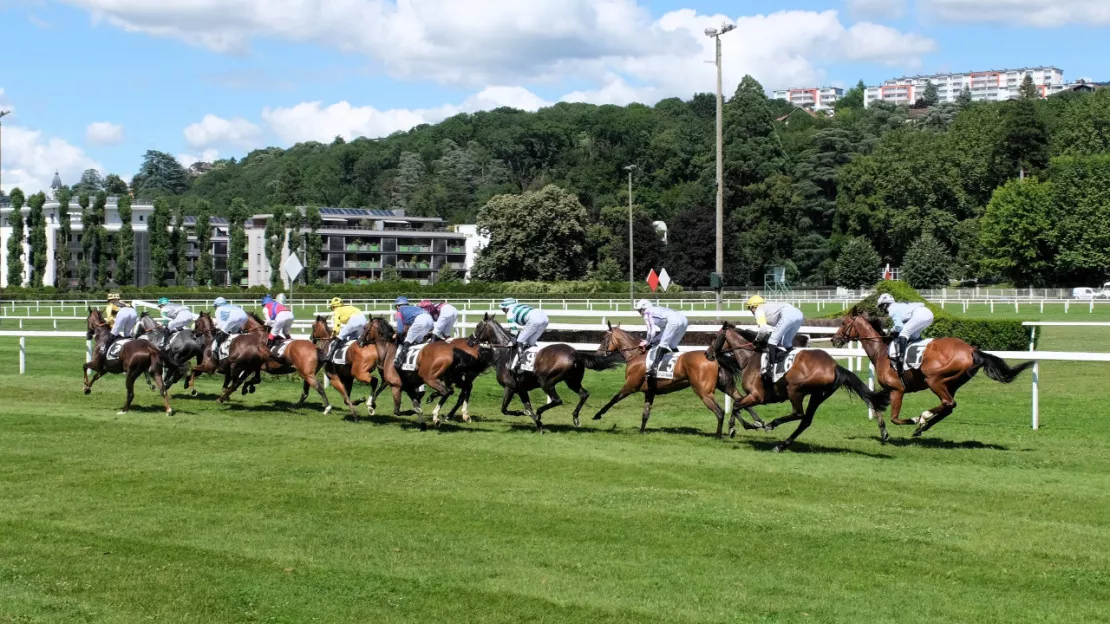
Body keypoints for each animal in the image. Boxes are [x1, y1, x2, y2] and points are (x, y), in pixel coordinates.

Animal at [468, 313, 626, 430]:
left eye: (478, 326)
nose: (469, 341)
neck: (504, 352)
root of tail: (576, 353)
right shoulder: (521, 389)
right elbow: (527, 407)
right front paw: (538, 425)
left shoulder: (510, 387)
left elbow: (505, 409)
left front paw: (524, 414)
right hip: (572, 381)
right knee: (584, 394)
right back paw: (575, 417)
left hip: (546, 382)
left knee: (557, 400)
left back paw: (541, 412)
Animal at [590, 321, 763, 435]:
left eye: (603, 339)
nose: (598, 354)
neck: (636, 355)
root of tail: (713, 356)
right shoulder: (649, 392)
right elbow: (645, 413)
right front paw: (641, 431)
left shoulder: (631, 385)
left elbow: (614, 399)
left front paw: (597, 415)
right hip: (726, 385)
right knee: (740, 401)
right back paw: (756, 423)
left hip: (703, 391)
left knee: (720, 411)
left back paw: (719, 435)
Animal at [710, 319, 892, 450]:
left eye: (714, 337)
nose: (708, 353)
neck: (750, 358)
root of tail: (834, 366)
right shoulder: (752, 396)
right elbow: (737, 404)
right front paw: (752, 424)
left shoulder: (757, 396)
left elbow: (736, 405)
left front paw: (737, 428)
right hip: (818, 395)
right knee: (805, 420)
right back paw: (781, 445)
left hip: (795, 389)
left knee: (798, 413)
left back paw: (772, 425)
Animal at [830, 308, 1034, 437]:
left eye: (844, 323)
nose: (834, 339)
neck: (881, 351)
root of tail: (971, 350)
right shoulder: (888, 389)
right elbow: (875, 404)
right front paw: (884, 433)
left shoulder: (897, 390)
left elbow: (895, 418)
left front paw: (914, 419)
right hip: (952, 383)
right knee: (949, 406)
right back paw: (921, 427)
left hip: (934, 380)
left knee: (948, 403)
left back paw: (923, 418)